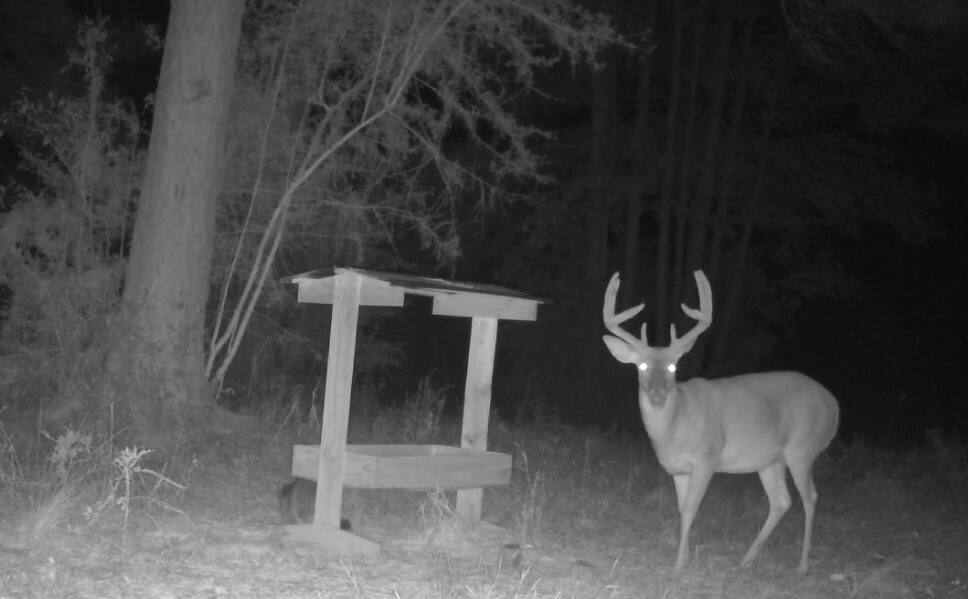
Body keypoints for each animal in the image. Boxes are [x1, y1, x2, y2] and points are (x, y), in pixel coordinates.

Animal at [602, 270, 839, 576]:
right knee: (781, 501)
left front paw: (677, 567)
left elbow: (691, 510)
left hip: (803, 449)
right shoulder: (679, 469)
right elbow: (681, 510)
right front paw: (684, 558)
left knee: (810, 497)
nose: (657, 395)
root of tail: (834, 406)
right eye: (641, 366)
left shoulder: (707, 459)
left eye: (673, 366)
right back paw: (746, 560)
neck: (676, 426)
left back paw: (802, 565)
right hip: (770, 460)